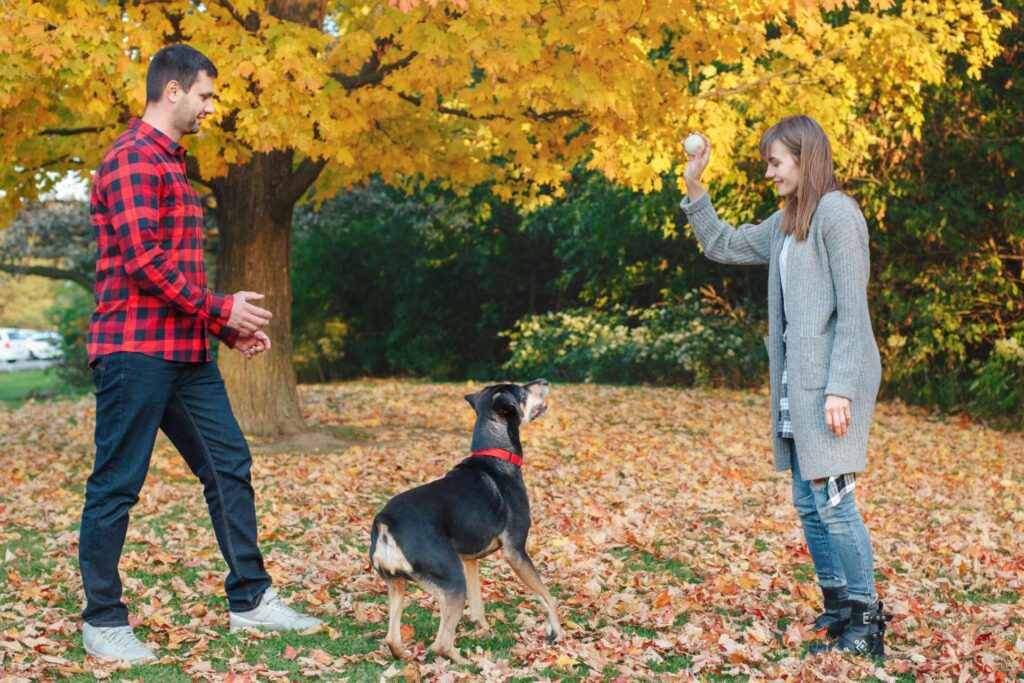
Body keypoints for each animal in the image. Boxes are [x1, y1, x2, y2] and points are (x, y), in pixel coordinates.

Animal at [368, 378, 565, 663]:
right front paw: (557, 633)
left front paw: (485, 630)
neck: (495, 454)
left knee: (392, 639)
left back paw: (407, 655)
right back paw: (468, 662)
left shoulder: (470, 559)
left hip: (397, 585)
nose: (544, 381)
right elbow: (547, 597)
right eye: (521, 390)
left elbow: (478, 604)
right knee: (440, 644)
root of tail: (386, 522)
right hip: (452, 582)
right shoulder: (516, 552)